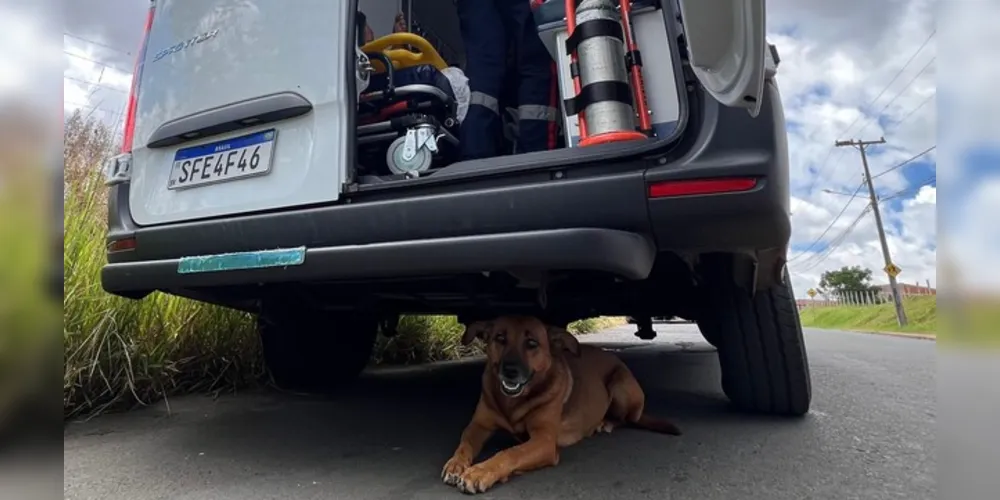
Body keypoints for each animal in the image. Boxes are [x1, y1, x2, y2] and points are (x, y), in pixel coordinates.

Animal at [440, 316, 680, 492]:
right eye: (500, 338)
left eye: (532, 343)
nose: (509, 371)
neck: (512, 403)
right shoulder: (479, 426)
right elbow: (465, 443)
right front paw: (456, 464)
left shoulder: (544, 441)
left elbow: (510, 453)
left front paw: (481, 472)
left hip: (619, 384)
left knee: (627, 419)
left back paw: (605, 423)